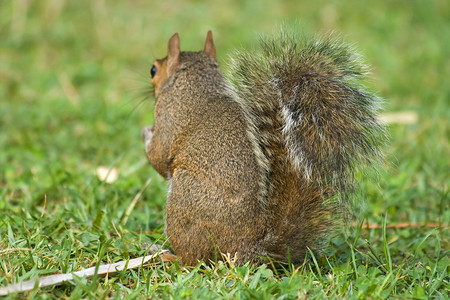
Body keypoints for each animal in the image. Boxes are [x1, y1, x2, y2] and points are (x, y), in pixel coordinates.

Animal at [141, 29, 384, 264]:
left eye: (153, 69)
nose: (151, 74)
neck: (196, 82)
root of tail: (247, 248)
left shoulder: (167, 115)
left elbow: (159, 157)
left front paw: (146, 133)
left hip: (184, 201)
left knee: (191, 260)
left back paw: (163, 253)